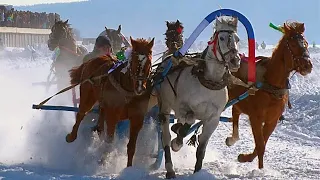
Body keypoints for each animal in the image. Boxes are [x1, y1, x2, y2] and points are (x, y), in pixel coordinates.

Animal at [65, 36, 154, 167]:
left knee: (100, 122)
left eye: (149, 62)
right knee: (81, 114)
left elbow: (131, 146)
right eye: (133, 61)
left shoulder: (137, 118)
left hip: (103, 104)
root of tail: (90, 61)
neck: (128, 91)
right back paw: (71, 136)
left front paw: (129, 167)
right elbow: (110, 140)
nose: (140, 88)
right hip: (87, 96)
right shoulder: (112, 115)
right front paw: (103, 161)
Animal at [156, 16, 241, 179]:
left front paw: (197, 171)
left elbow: (201, 148)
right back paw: (170, 168)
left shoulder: (213, 119)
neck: (209, 83)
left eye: (238, 39)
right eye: (221, 38)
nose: (235, 60)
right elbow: (188, 121)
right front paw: (178, 141)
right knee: (166, 137)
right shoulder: (182, 108)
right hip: (165, 106)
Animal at [225, 21, 312, 169]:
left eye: (305, 43)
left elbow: (261, 144)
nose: (308, 65)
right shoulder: (255, 118)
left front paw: (246, 158)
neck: (271, 86)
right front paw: (260, 170)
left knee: (235, 114)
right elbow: (260, 145)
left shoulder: (272, 120)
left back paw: (232, 139)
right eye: (293, 45)